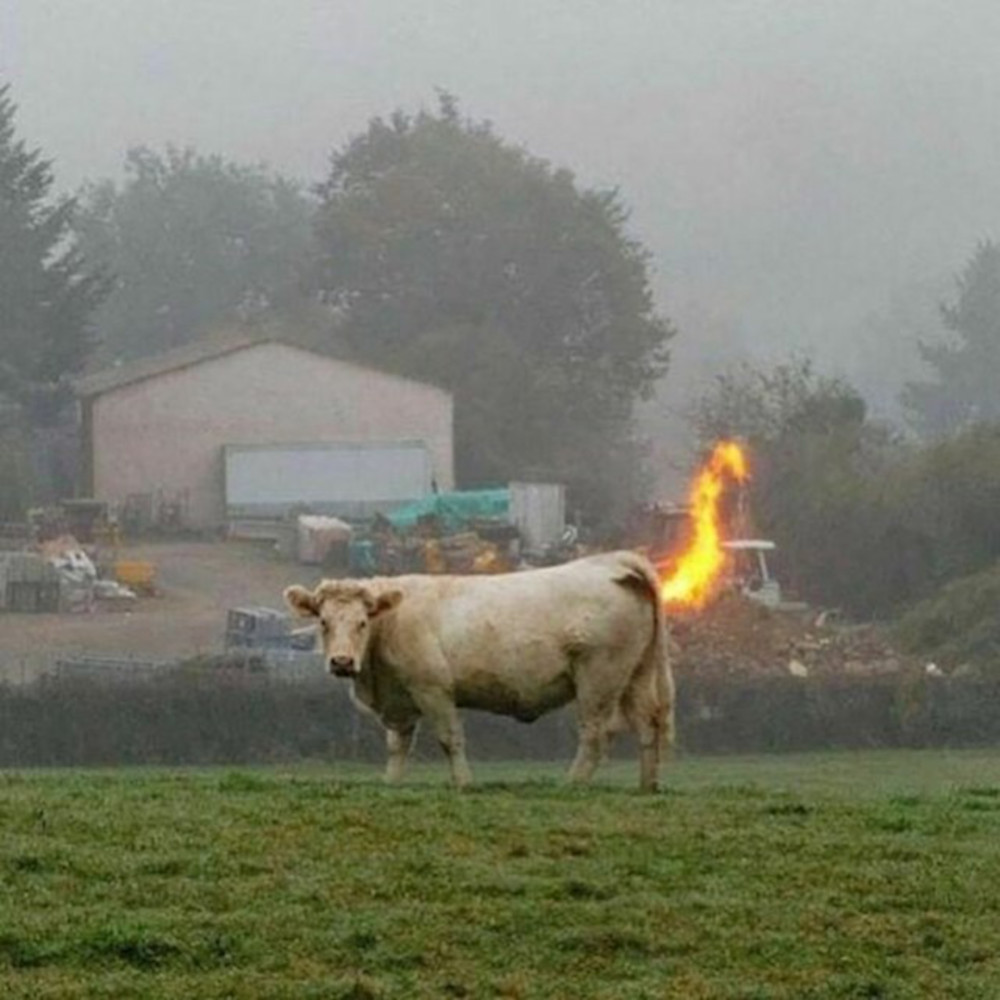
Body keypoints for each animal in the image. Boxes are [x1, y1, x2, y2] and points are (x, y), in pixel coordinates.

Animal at [286, 552, 676, 792]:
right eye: (323, 622)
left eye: (362, 622)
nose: (341, 662)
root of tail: (612, 562)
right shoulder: (401, 699)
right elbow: (398, 746)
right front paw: (391, 783)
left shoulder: (433, 689)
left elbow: (449, 738)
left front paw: (463, 783)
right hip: (636, 675)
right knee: (648, 725)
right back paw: (647, 786)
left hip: (600, 678)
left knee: (596, 733)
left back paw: (572, 784)